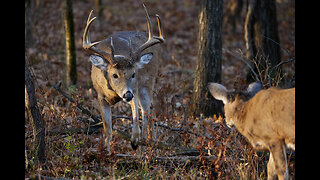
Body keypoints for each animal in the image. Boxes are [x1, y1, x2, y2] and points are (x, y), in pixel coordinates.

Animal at [82, 3, 165, 155]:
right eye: (114, 75)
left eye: (133, 74)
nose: (127, 94)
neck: (113, 93)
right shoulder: (100, 96)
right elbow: (108, 129)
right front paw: (107, 152)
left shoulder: (134, 90)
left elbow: (135, 117)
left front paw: (134, 141)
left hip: (147, 83)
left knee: (147, 111)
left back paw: (146, 143)